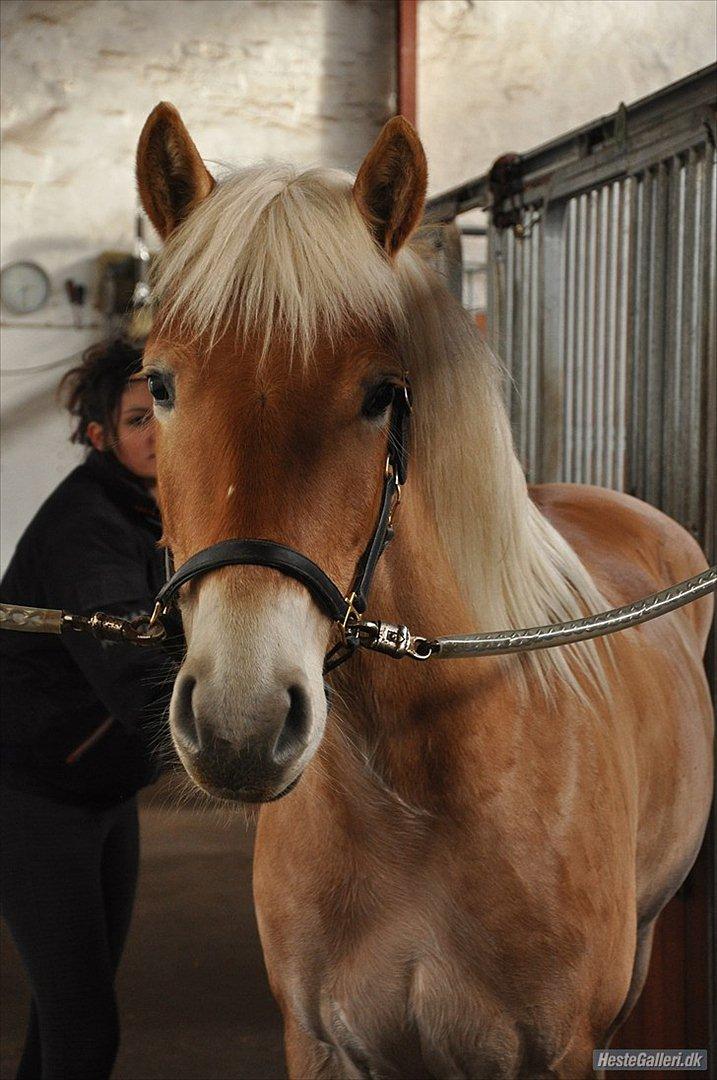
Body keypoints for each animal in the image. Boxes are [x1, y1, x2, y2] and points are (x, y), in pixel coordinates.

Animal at [132, 103, 712, 1080]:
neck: (419, 799)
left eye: (380, 394)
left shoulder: (556, 1051)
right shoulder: (320, 1043)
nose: (241, 721)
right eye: (161, 385)